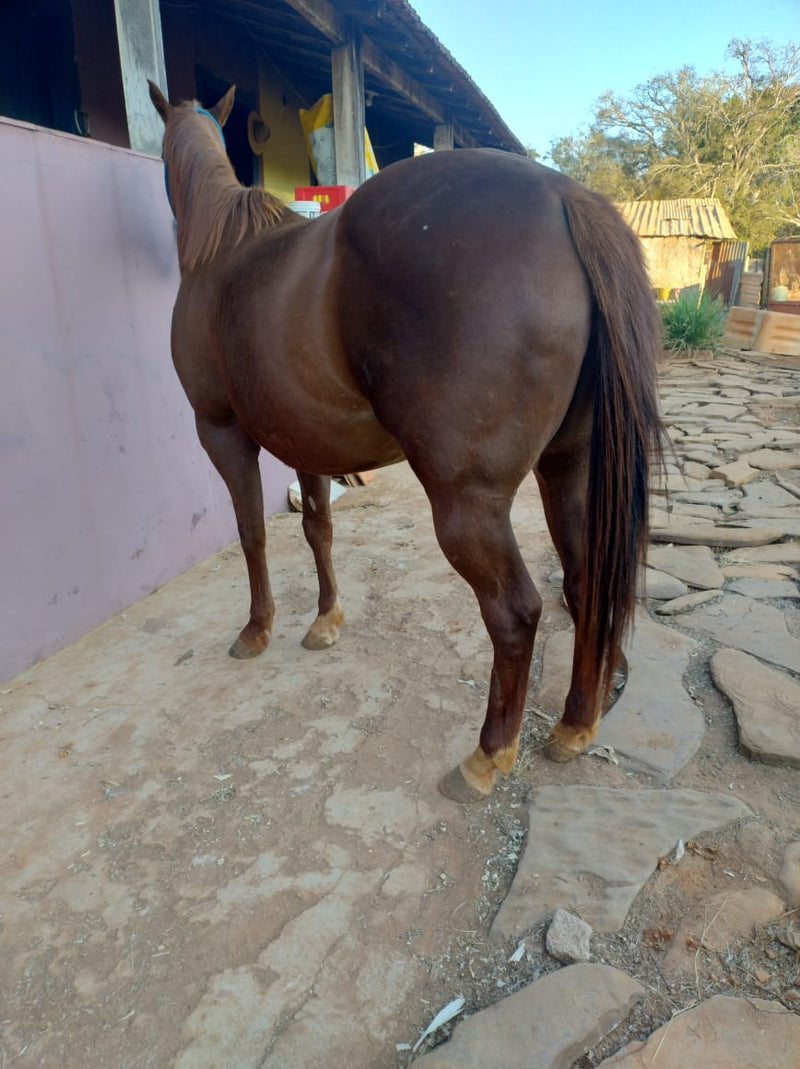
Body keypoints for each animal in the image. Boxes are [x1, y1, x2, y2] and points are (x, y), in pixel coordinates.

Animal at [148, 83, 663, 803]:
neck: (219, 253)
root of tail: (565, 195)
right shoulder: (306, 440)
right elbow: (317, 526)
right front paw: (325, 620)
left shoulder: (221, 431)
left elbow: (252, 532)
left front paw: (257, 628)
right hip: (570, 467)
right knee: (587, 583)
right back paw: (574, 725)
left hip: (467, 501)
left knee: (516, 611)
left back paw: (487, 755)